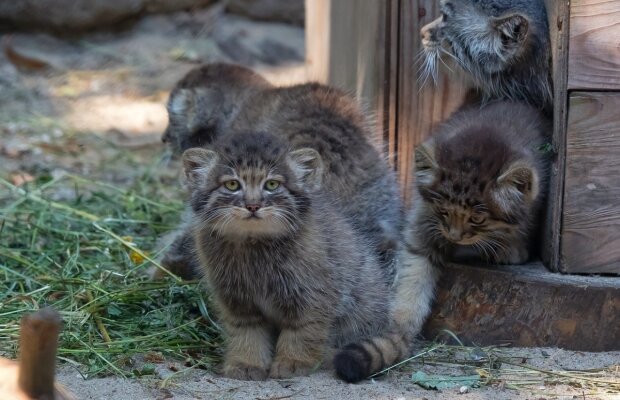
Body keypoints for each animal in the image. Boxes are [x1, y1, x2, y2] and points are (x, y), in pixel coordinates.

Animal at [182, 132, 390, 382]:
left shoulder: (314, 294)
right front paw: (246, 362)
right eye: (232, 185)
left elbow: (302, 330)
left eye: (272, 184)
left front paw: (293, 361)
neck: (254, 245)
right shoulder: (236, 299)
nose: (253, 205)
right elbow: (247, 332)